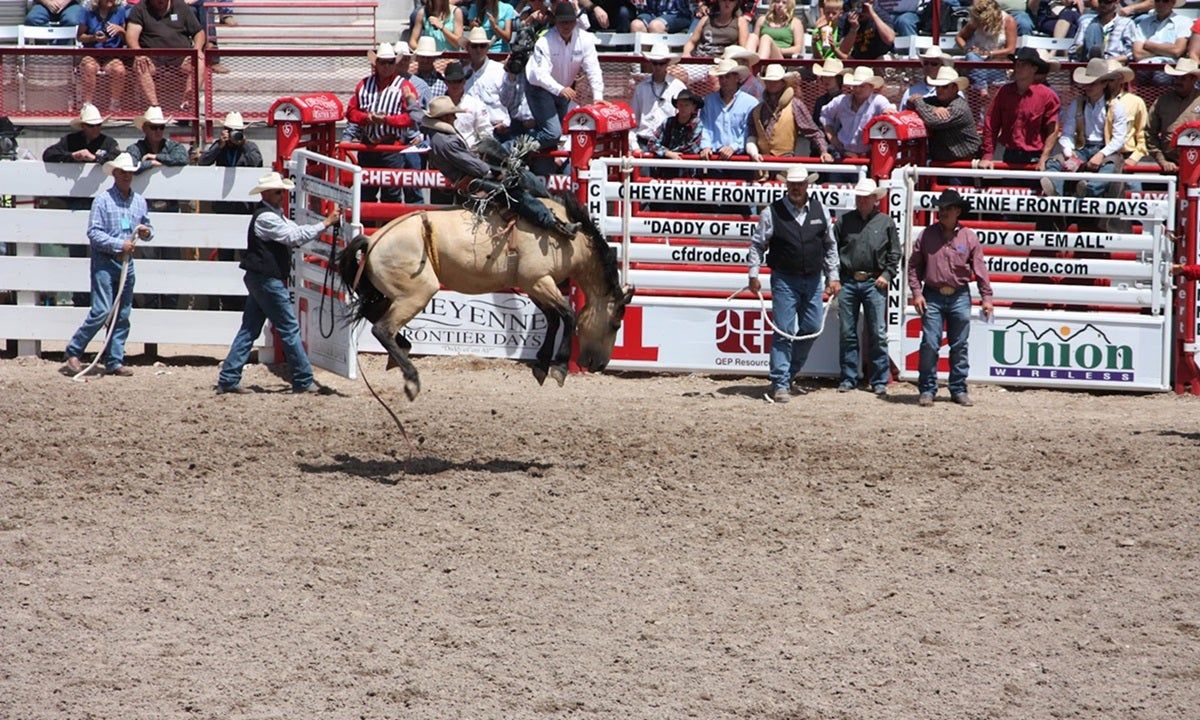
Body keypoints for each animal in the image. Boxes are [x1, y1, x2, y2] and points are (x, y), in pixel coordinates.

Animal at [335, 193, 635, 401]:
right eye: (616, 323)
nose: (599, 364)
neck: (567, 238)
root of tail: (373, 241)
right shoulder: (538, 280)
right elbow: (568, 314)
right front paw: (559, 367)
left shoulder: (531, 284)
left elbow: (552, 317)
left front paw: (541, 365)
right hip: (416, 293)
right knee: (382, 328)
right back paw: (411, 378)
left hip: (388, 294)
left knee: (375, 318)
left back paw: (402, 350)